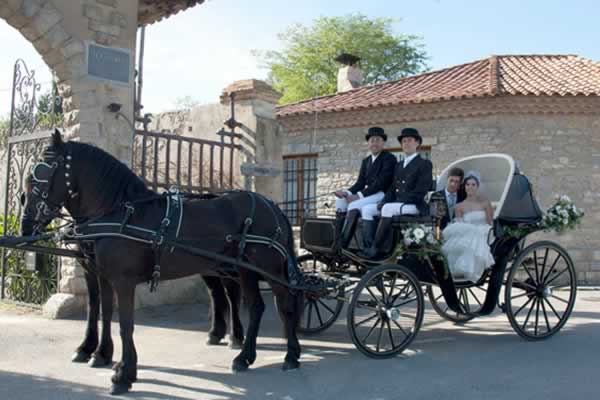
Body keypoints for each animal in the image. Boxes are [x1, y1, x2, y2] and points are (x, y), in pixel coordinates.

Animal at [21, 130, 302, 394]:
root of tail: (272, 206)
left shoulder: (123, 281)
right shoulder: (101, 274)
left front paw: (123, 374)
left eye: (39, 175)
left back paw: (289, 354)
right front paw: (102, 355)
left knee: (285, 305)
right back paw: (244, 357)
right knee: (254, 306)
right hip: (244, 270)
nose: (24, 226)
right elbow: (102, 312)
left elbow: (125, 324)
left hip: (269, 268)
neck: (121, 213)